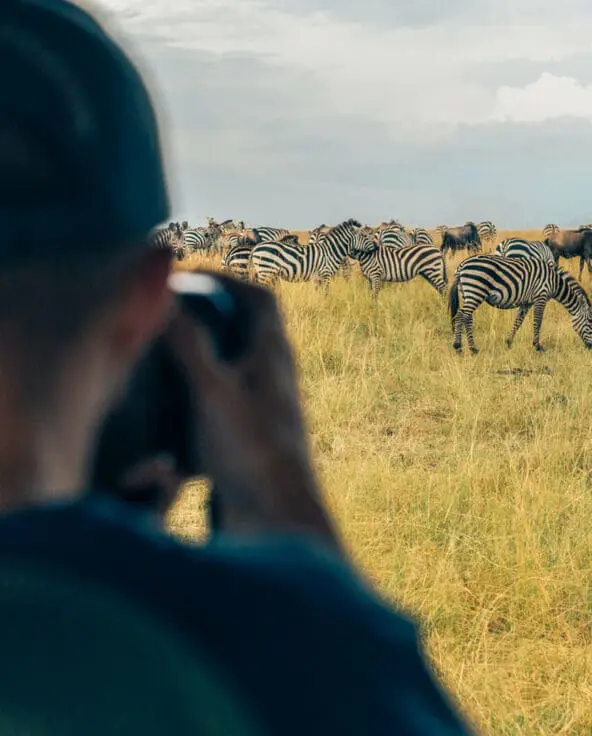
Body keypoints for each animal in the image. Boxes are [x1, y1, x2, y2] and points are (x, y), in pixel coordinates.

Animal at [449, 255, 592, 354]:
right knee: (461, 315)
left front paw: (509, 342)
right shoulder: (541, 296)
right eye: (590, 323)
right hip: (475, 290)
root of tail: (462, 265)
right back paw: (464, 347)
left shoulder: (526, 302)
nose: (590, 348)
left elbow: (518, 321)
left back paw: (465, 347)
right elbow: (538, 321)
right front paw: (538, 346)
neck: (554, 282)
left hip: (468, 293)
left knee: (466, 317)